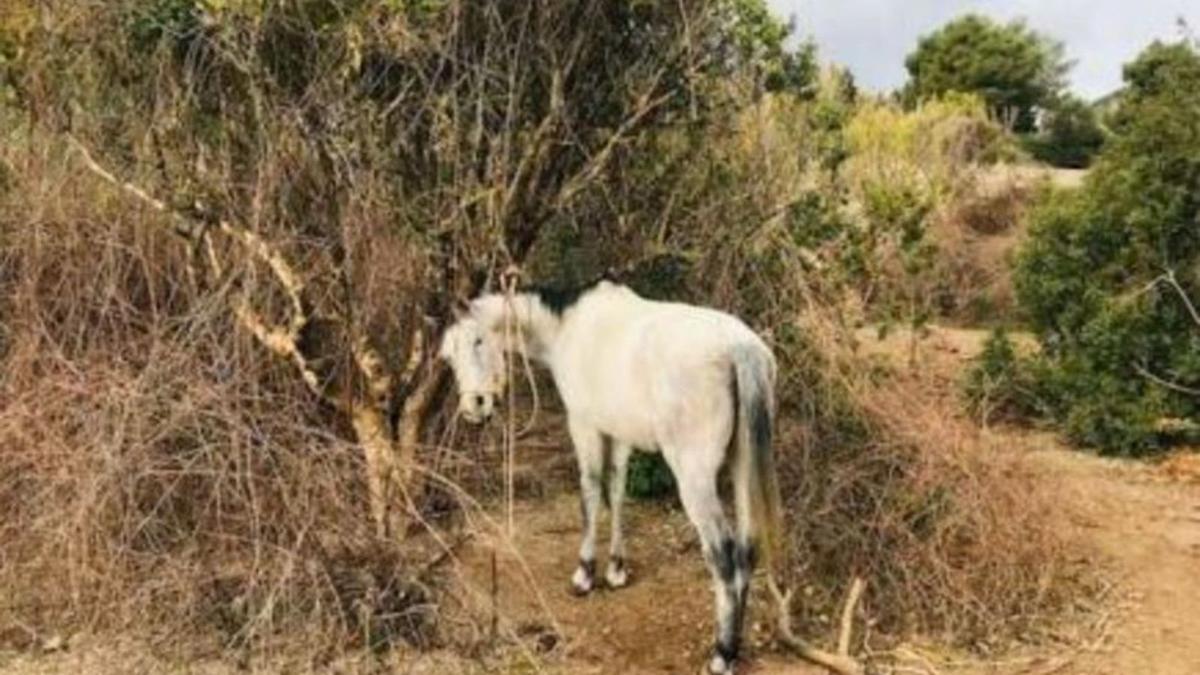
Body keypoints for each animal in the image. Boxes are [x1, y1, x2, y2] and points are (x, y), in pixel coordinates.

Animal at [441, 276, 787, 667]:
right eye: (449, 355)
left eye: (478, 340)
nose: (474, 408)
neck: (567, 327)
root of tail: (740, 349)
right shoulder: (619, 435)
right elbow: (617, 493)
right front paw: (616, 569)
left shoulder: (585, 426)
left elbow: (591, 494)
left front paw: (585, 573)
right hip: (742, 466)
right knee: (746, 548)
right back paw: (734, 643)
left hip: (695, 478)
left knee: (724, 556)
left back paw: (722, 653)